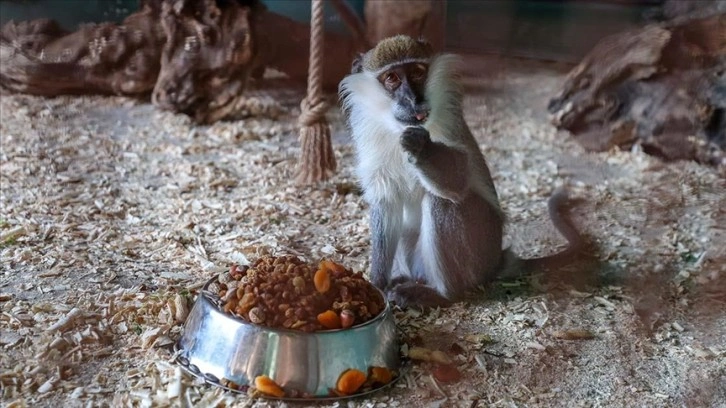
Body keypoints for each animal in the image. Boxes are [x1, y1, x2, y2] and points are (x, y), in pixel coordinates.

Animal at [338, 35, 588, 310]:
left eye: (417, 72)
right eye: (392, 78)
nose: (414, 101)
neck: (396, 130)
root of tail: (496, 260)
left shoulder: (448, 121)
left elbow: (457, 182)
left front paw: (423, 149)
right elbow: (386, 203)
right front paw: (377, 284)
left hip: (480, 247)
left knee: (442, 201)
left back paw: (441, 294)